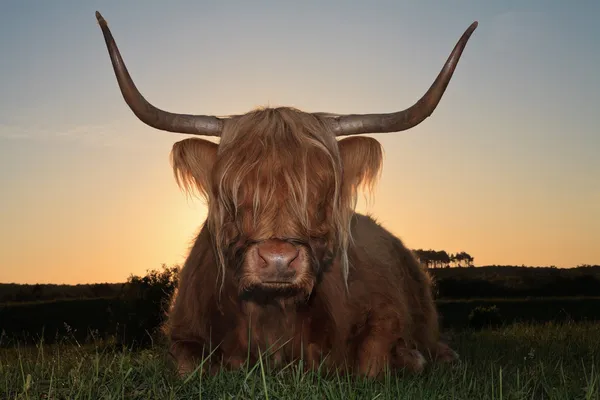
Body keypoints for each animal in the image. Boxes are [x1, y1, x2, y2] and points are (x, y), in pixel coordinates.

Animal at [95, 10, 478, 378]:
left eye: (322, 190)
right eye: (233, 192)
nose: (278, 259)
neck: (274, 317)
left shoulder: (385, 314)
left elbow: (372, 362)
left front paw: (412, 358)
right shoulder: (183, 331)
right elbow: (189, 368)